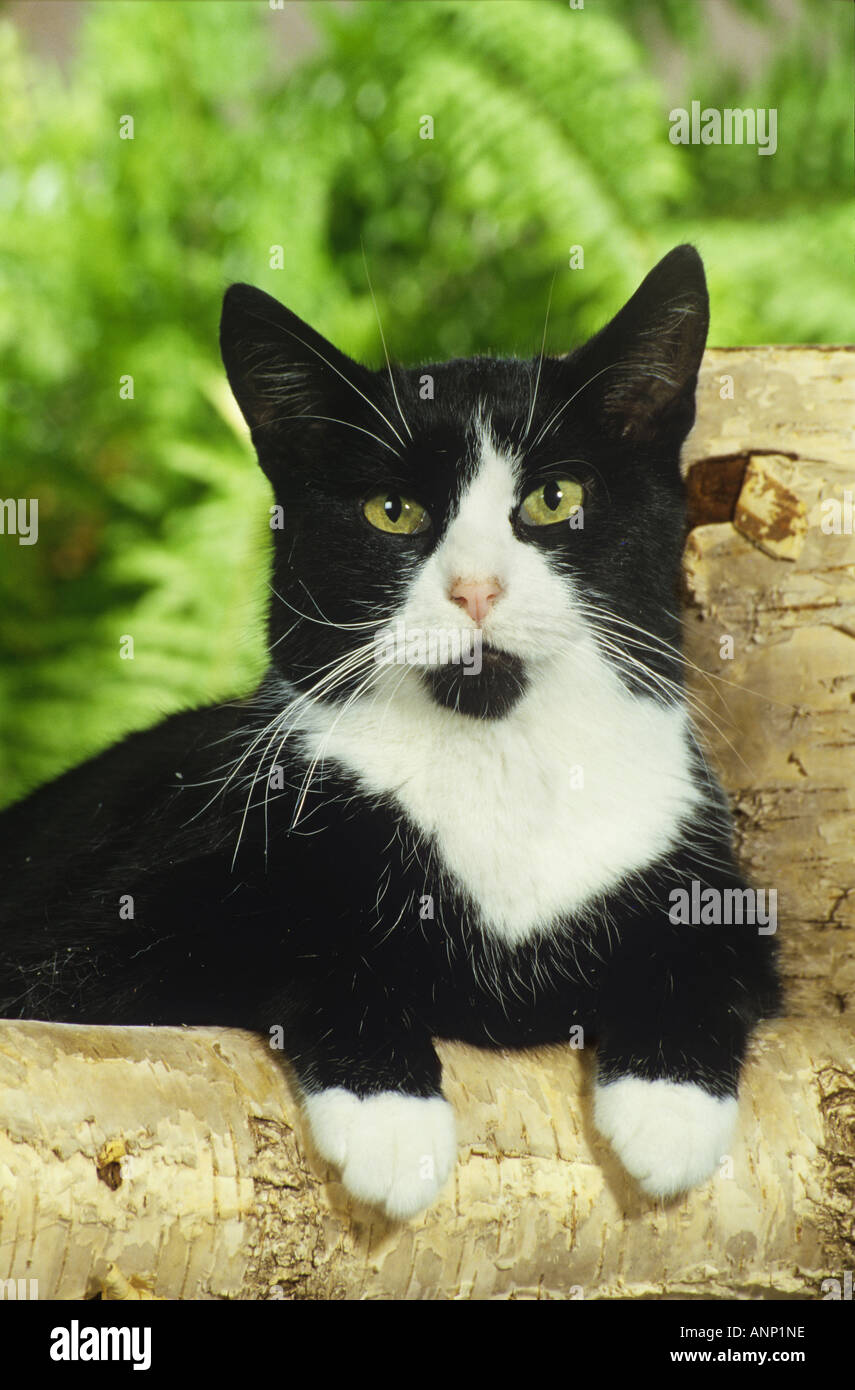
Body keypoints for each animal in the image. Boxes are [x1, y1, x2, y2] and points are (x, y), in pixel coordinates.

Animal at [0, 247, 778, 1217]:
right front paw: (393, 1119)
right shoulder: (86, 946)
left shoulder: (712, 880)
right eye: (392, 512)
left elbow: (716, 952)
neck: (496, 755)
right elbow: (296, 944)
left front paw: (668, 1108)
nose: (475, 588)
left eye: (554, 497)